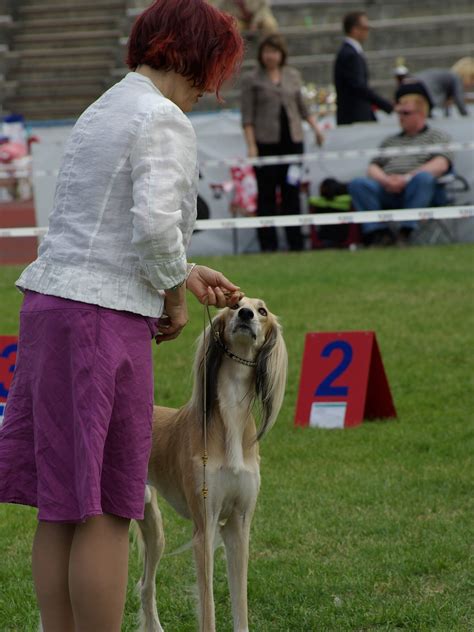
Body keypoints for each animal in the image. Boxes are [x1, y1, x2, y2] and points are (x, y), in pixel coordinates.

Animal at [135, 298, 286, 632]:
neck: (231, 418)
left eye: (262, 310)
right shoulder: (204, 526)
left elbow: (240, 603)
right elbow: (209, 609)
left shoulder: (239, 525)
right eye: (235, 305)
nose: (246, 314)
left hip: (154, 526)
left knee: (146, 585)